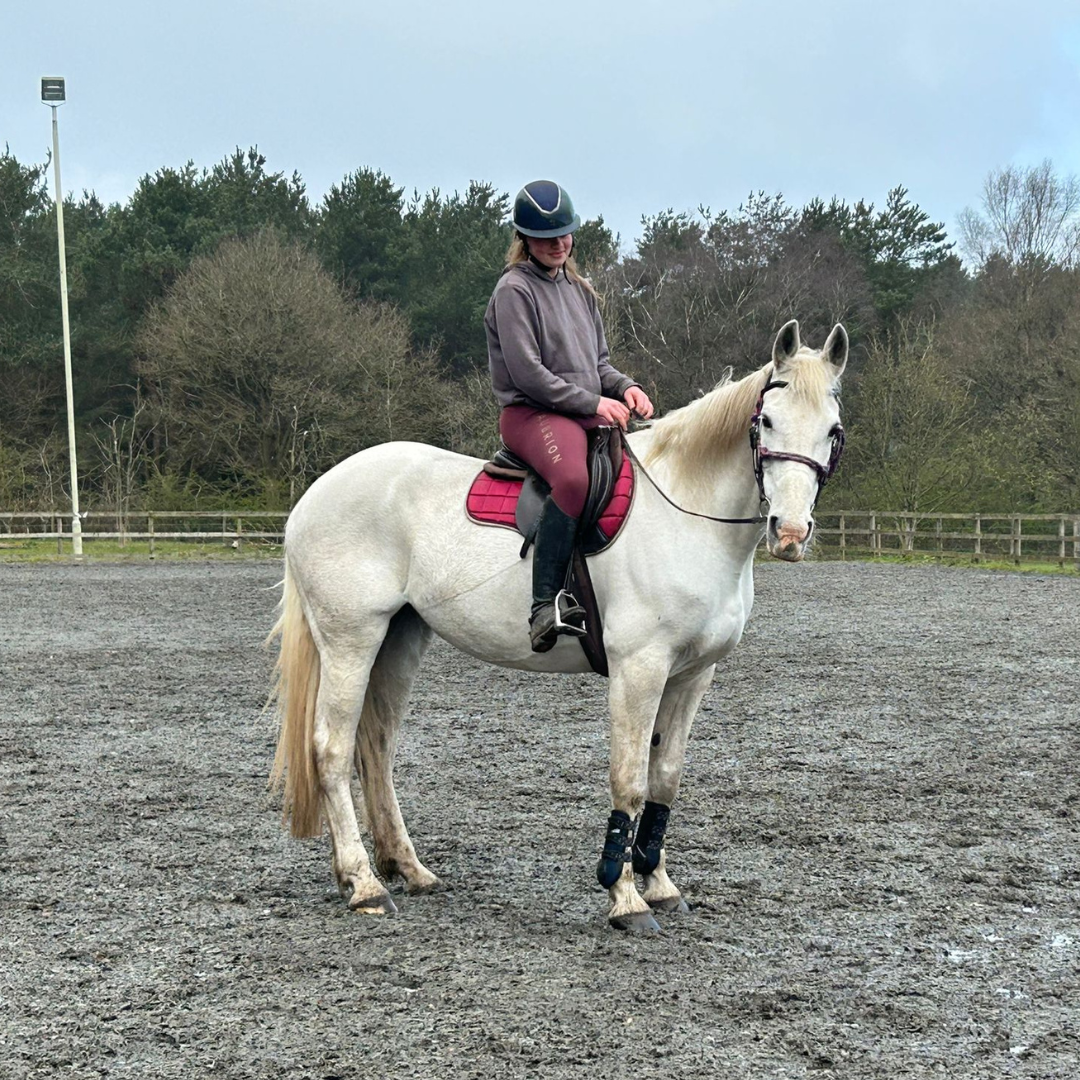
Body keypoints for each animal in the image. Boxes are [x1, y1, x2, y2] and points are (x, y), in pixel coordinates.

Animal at [269, 319, 848, 931]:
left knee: (375, 745)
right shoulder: (639, 669)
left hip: (399, 637)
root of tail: (315, 493)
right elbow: (629, 780)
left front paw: (660, 884)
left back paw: (407, 868)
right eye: (767, 422)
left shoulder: (692, 676)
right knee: (332, 749)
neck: (686, 515)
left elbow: (665, 777)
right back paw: (364, 884)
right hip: (350, 640)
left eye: (832, 431)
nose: (789, 533)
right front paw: (625, 897)